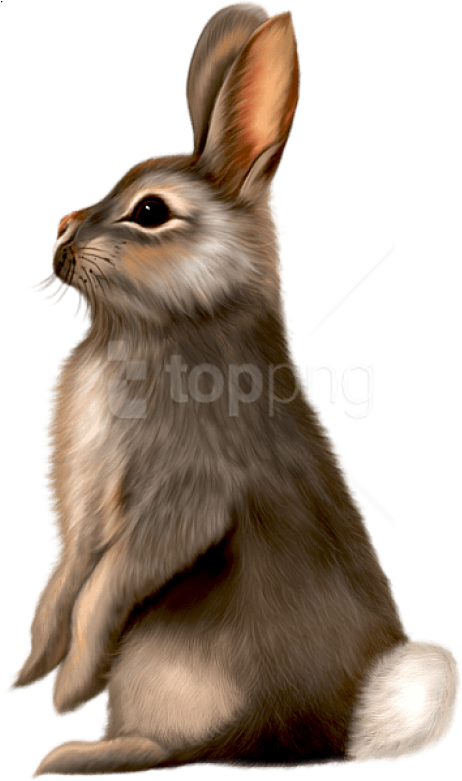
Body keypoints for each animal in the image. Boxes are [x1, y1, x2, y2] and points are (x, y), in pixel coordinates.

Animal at [8, 2, 460, 777]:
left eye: (150, 212)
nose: (61, 237)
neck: (164, 323)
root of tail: (335, 732)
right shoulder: (82, 514)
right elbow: (62, 585)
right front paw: (28, 673)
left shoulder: (186, 492)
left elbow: (104, 588)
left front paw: (65, 695)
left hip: (167, 663)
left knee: (197, 746)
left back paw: (73, 751)